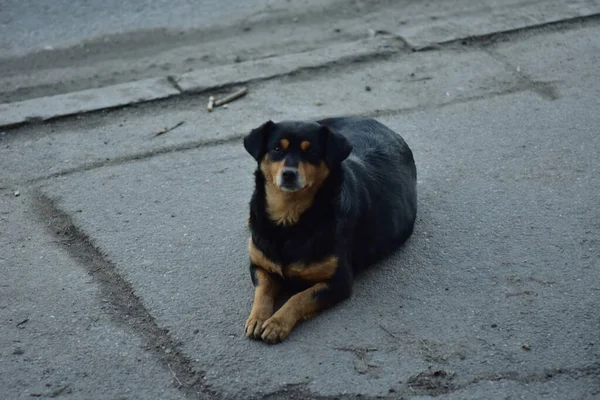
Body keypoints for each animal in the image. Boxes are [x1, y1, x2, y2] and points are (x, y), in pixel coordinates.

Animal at [241, 116, 414, 344]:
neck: (288, 219)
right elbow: (263, 291)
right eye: (277, 148)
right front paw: (257, 318)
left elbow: (300, 297)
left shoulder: (339, 282)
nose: (289, 174)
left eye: (311, 151)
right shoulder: (260, 265)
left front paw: (277, 323)